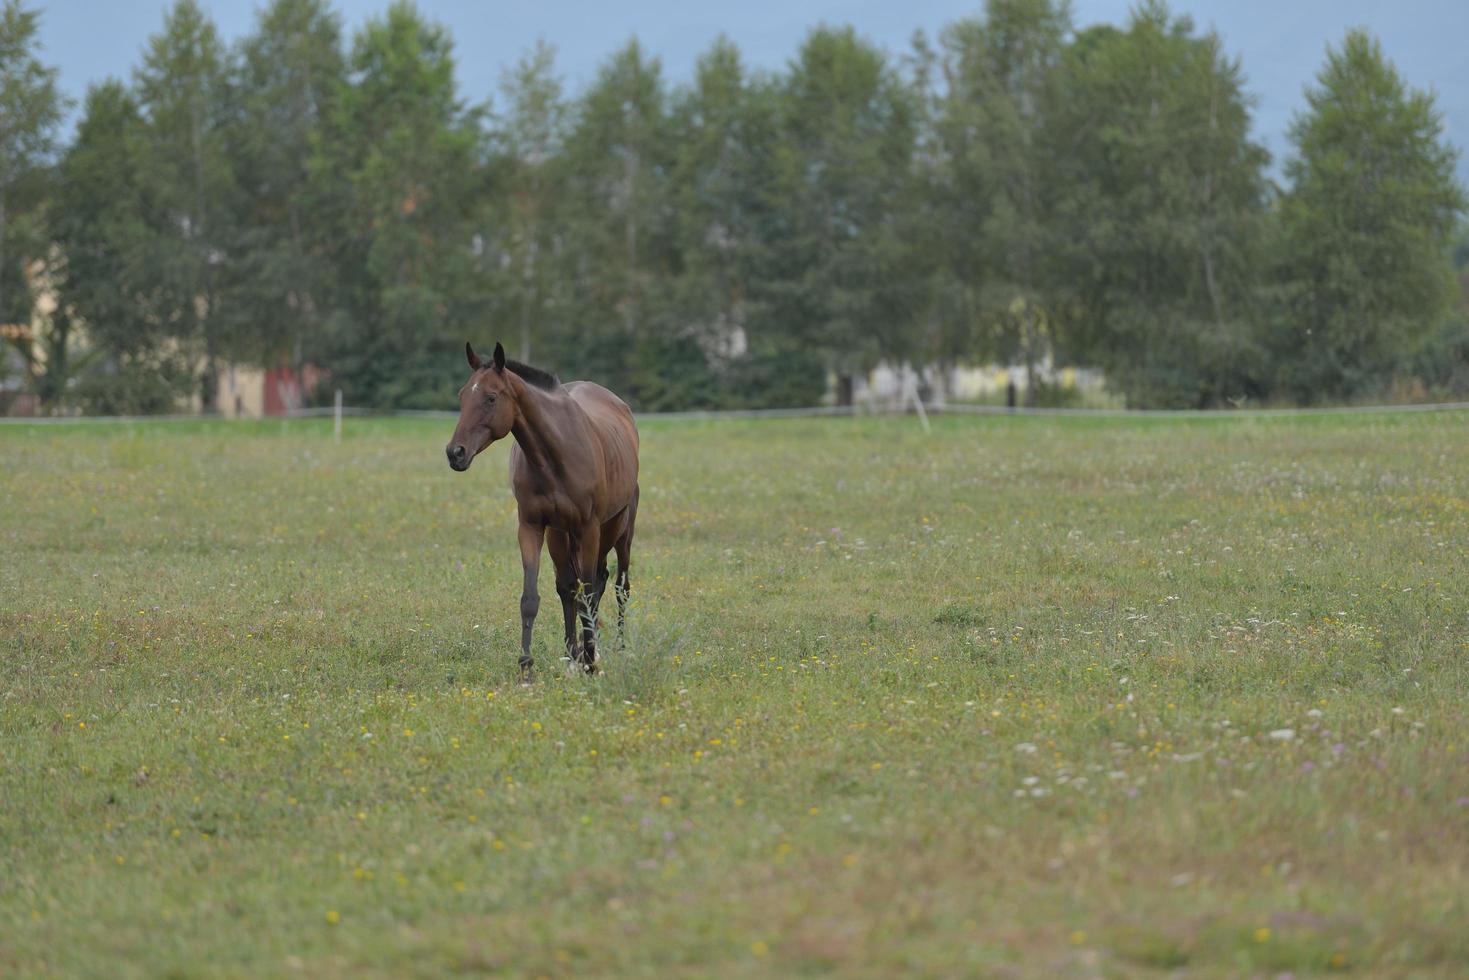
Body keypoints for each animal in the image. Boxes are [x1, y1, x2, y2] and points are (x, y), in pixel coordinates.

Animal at [440, 339, 637, 675]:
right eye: (463, 395)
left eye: (491, 397)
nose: (456, 453)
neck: (553, 456)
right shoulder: (533, 526)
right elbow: (533, 596)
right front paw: (528, 667)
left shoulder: (588, 528)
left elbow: (589, 590)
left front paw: (589, 663)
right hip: (562, 536)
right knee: (574, 585)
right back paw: (577, 652)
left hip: (618, 529)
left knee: (617, 586)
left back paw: (618, 649)